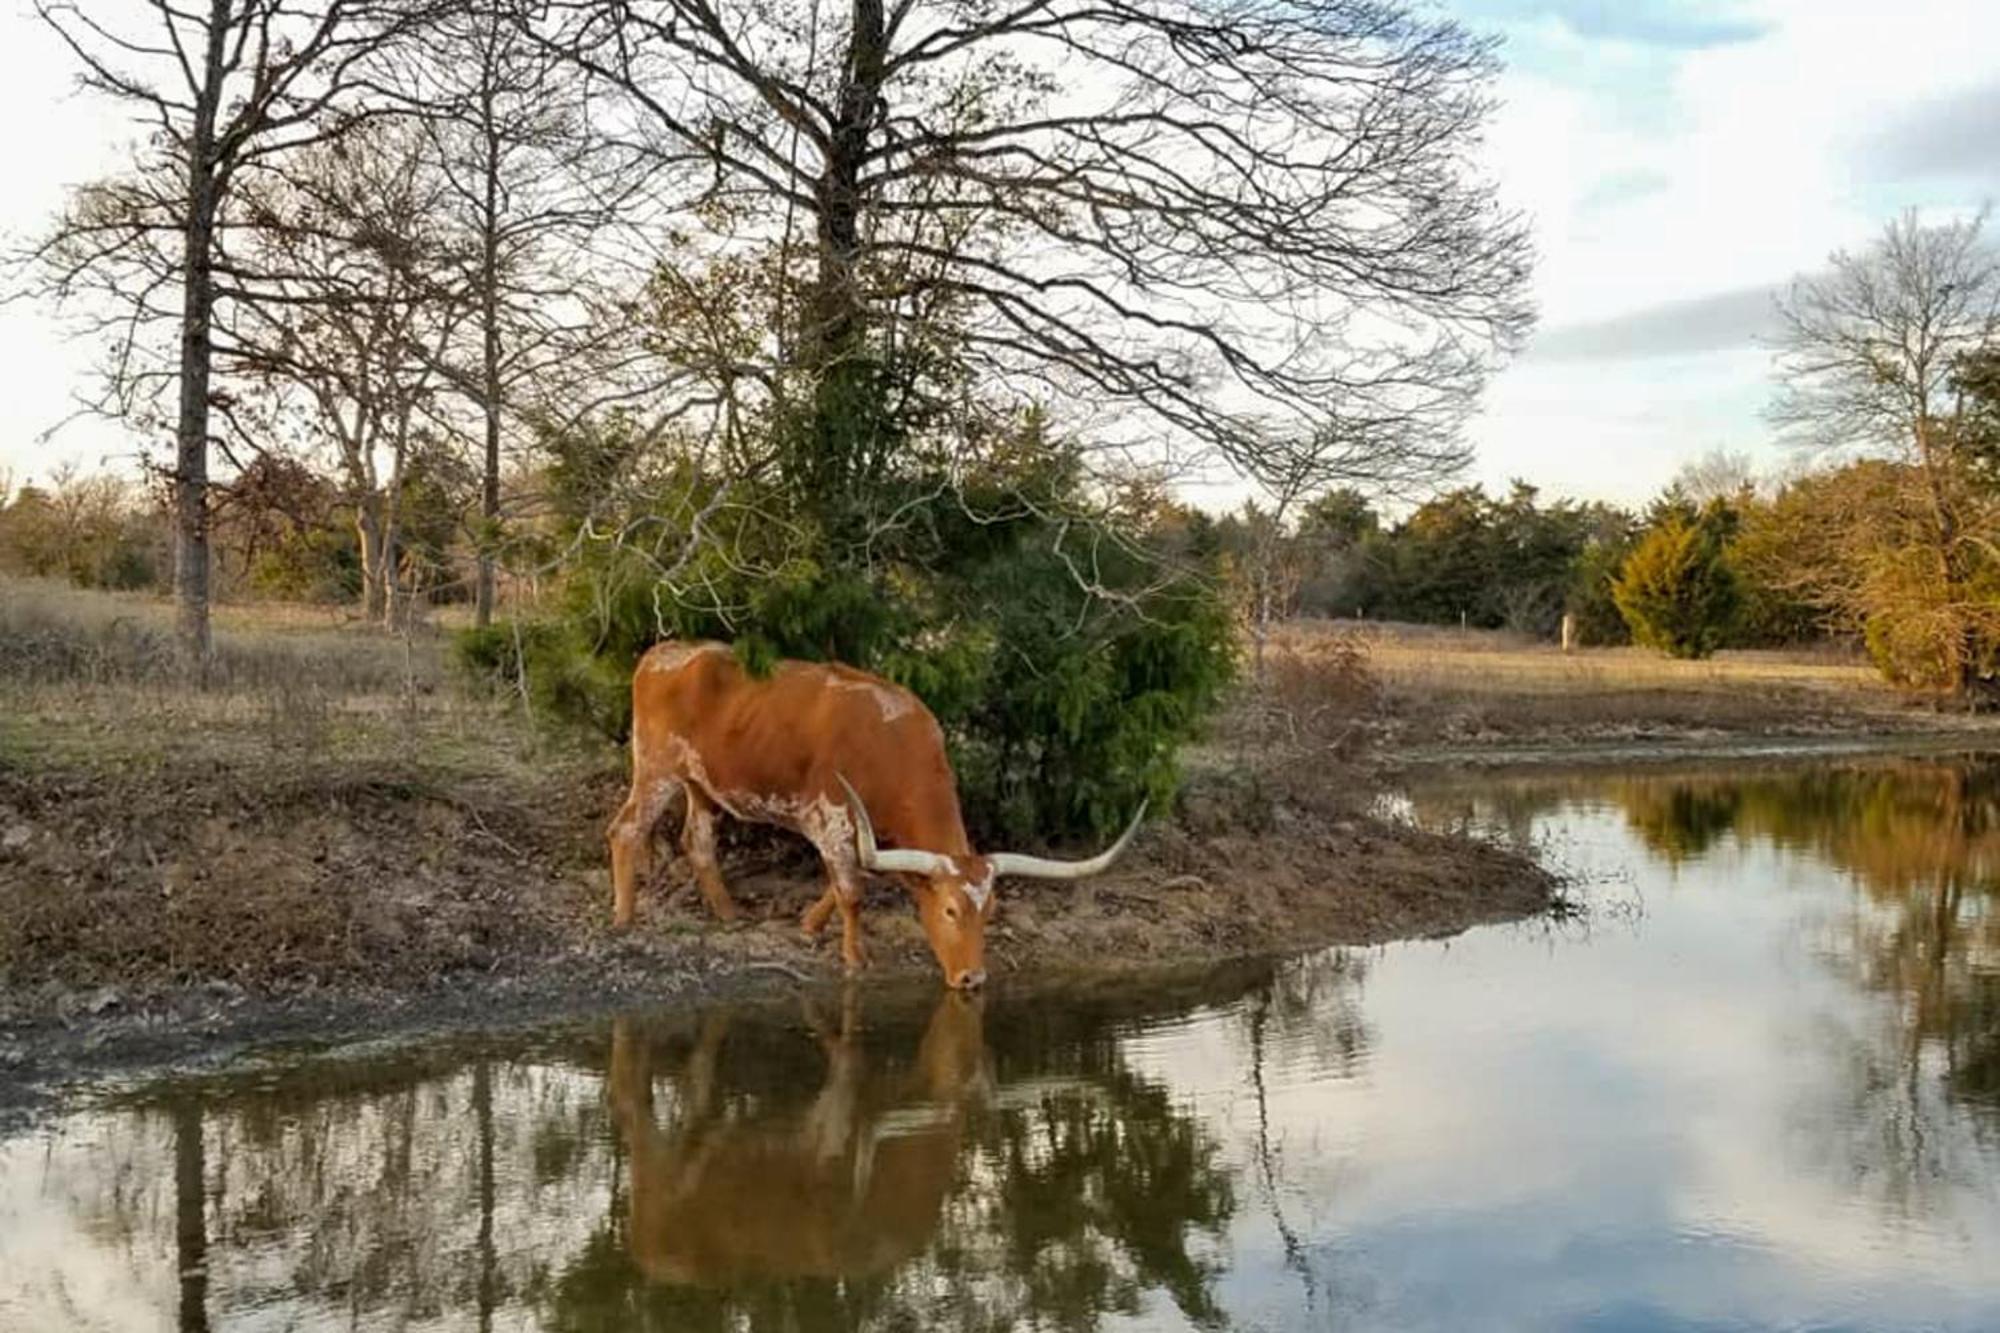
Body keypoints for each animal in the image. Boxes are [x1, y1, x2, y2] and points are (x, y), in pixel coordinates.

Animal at [600, 640, 1152, 980]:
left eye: (991, 910)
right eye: (950, 911)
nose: (972, 978)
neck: (892, 741)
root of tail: (667, 651)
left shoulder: (865, 832)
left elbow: (847, 879)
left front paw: (808, 924)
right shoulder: (831, 819)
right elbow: (852, 890)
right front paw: (853, 955)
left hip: (703, 785)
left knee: (697, 841)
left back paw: (728, 912)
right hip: (656, 768)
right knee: (625, 829)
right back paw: (625, 916)